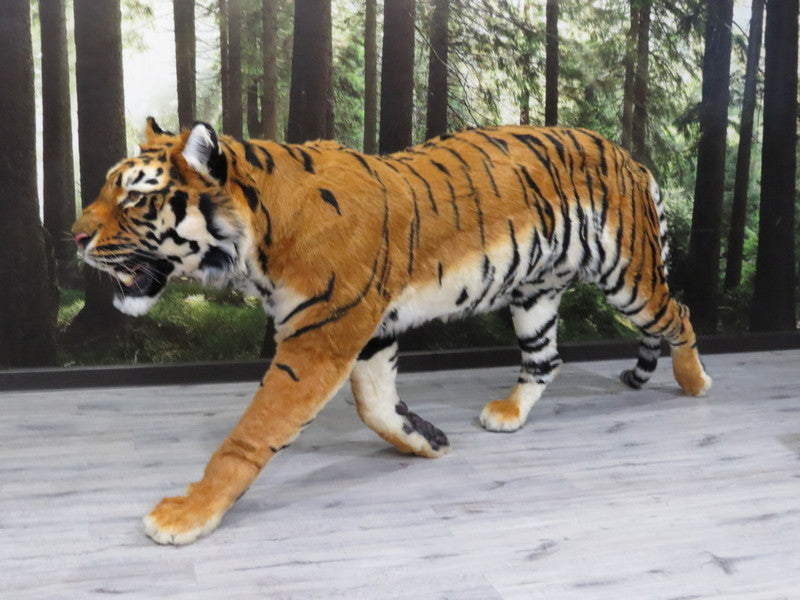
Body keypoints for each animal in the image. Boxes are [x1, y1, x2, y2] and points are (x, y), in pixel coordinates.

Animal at [72, 117, 711, 545]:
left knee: (679, 314)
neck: (257, 242)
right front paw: (427, 440)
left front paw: (187, 513)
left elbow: (250, 434)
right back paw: (508, 414)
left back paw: (695, 382)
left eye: (134, 198)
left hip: (628, 277)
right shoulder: (368, 333)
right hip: (534, 294)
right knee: (545, 358)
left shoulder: (319, 339)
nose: (75, 237)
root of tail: (629, 155)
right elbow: (376, 407)